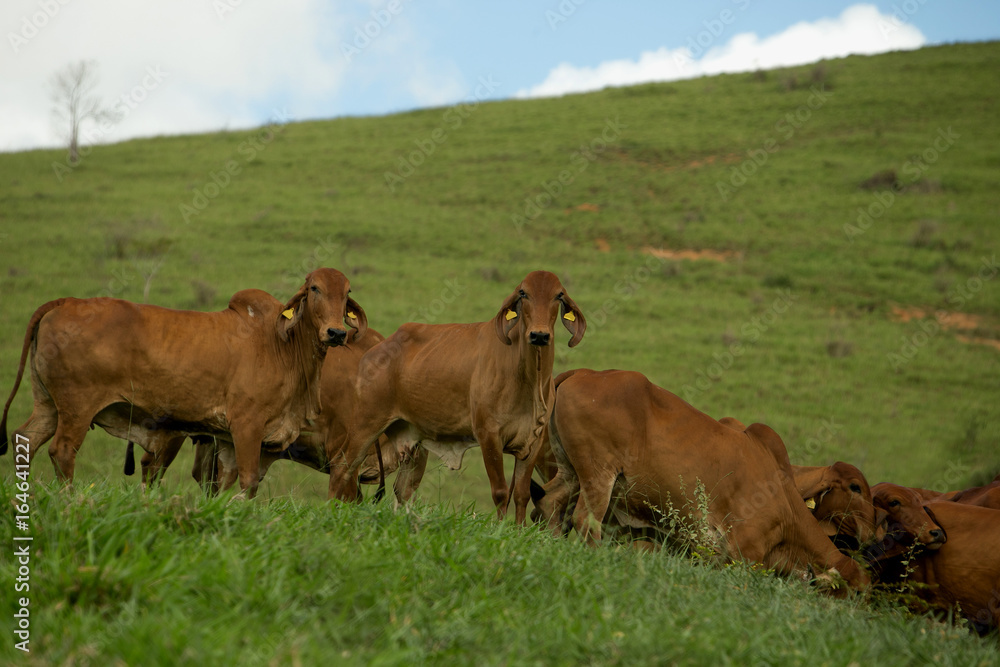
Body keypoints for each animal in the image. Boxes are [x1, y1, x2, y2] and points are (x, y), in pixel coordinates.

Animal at [0, 268, 368, 498]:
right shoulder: (247, 426)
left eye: (347, 293)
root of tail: (66, 302)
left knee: (24, 440)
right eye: (315, 288)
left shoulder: (227, 440)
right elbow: (248, 481)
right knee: (61, 451)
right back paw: (68, 500)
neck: (282, 347)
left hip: (48, 405)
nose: (336, 333)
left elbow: (223, 482)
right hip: (77, 407)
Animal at [328, 270, 584, 520]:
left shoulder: (532, 440)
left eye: (558, 295)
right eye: (523, 293)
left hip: (412, 443)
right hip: (366, 424)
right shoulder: (488, 435)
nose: (539, 335)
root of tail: (372, 352)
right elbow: (501, 492)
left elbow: (521, 494)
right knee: (341, 469)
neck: (529, 380)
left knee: (403, 489)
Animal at [536, 368, 872, 592]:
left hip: (570, 473)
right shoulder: (744, 554)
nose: (872, 532)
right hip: (598, 476)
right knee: (585, 521)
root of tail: (584, 373)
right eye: (855, 593)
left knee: (550, 502)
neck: (786, 501)